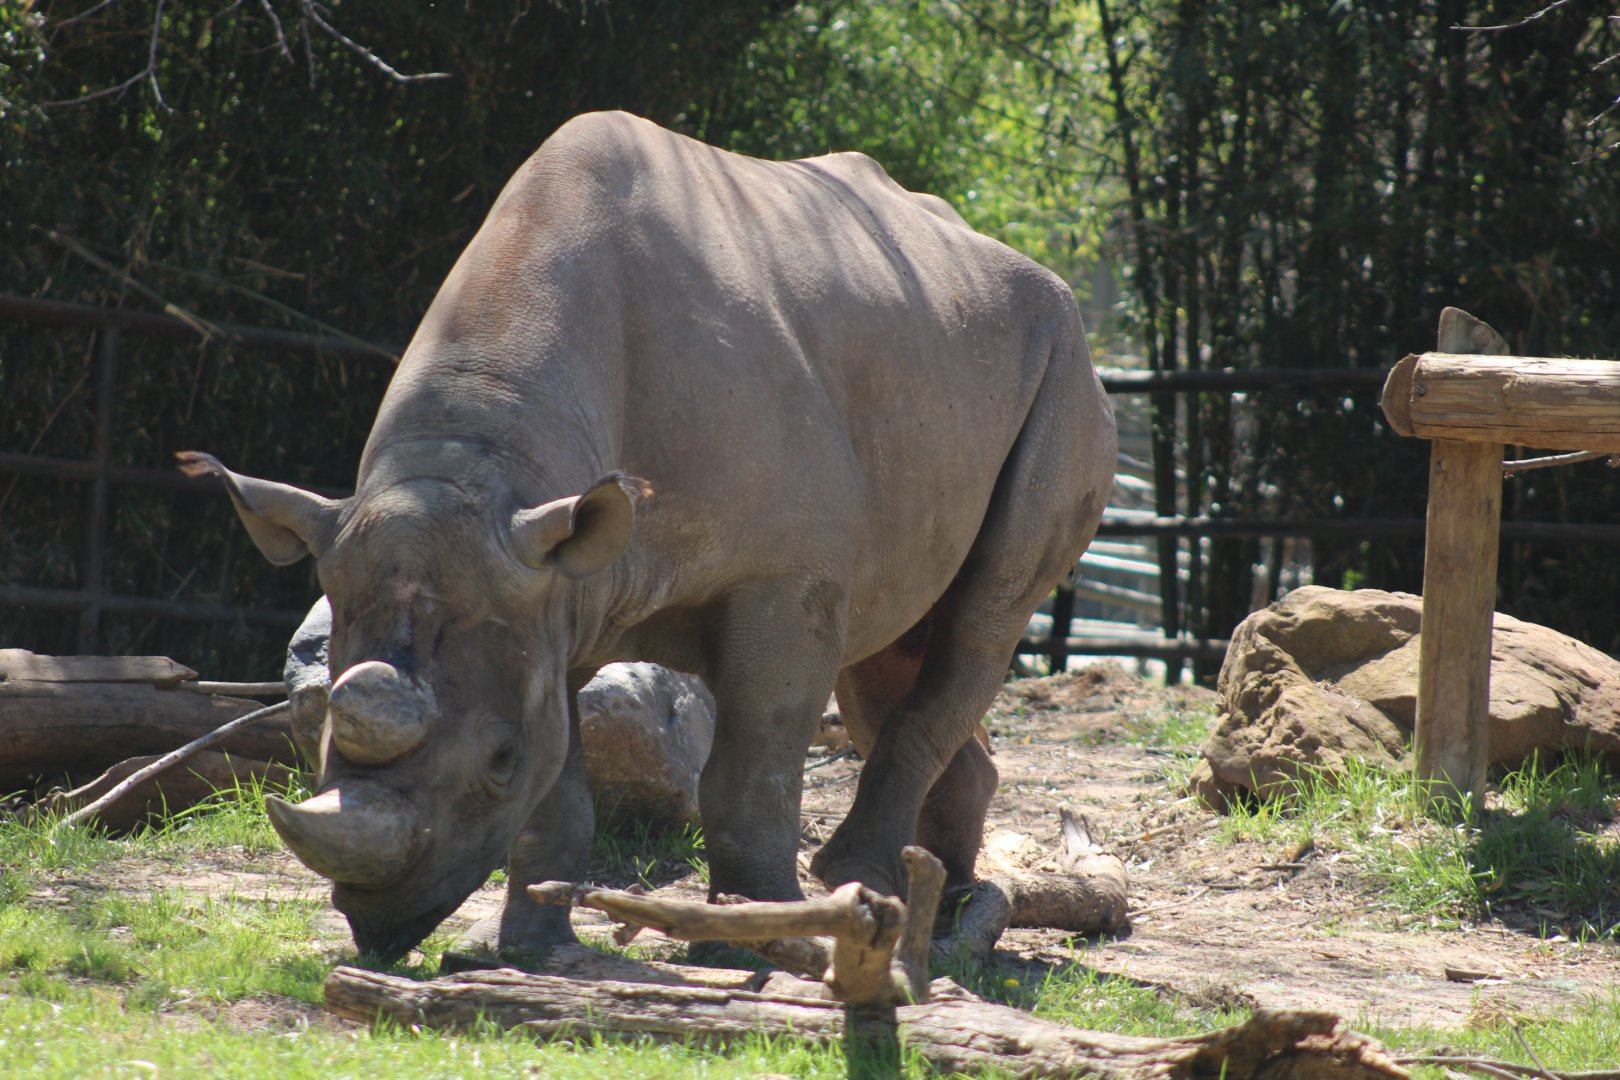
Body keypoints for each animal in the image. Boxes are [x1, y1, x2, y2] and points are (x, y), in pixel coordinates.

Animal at [182, 111, 1116, 961]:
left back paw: (874, 894)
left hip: (1068, 360)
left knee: (984, 616)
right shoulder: (549, 578)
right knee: (891, 647)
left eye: (498, 759)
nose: (374, 925)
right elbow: (560, 783)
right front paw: (526, 953)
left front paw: (754, 950)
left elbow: (750, 769)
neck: (490, 457)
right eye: (320, 738)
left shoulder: (775, 575)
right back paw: (941, 906)